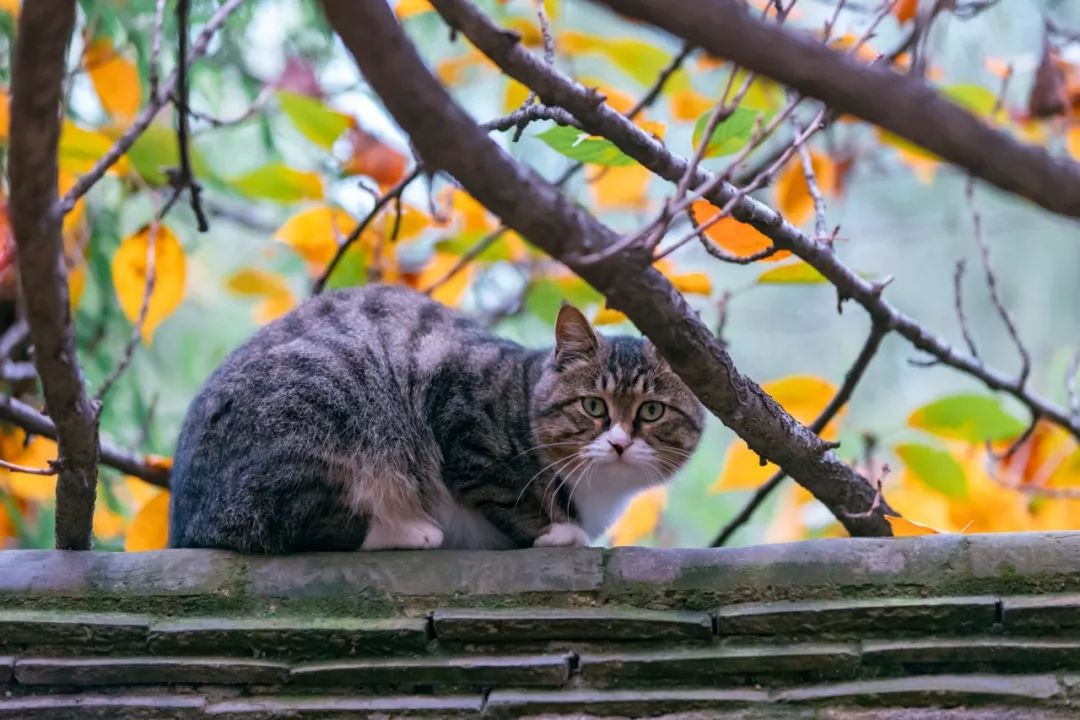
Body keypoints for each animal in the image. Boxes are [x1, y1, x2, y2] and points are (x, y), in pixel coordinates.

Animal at [169, 284, 704, 557]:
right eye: (593, 406)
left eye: (651, 411)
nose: (619, 443)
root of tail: (184, 514)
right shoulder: (459, 408)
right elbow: (500, 489)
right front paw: (555, 531)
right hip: (321, 409)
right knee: (276, 524)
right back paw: (406, 531)